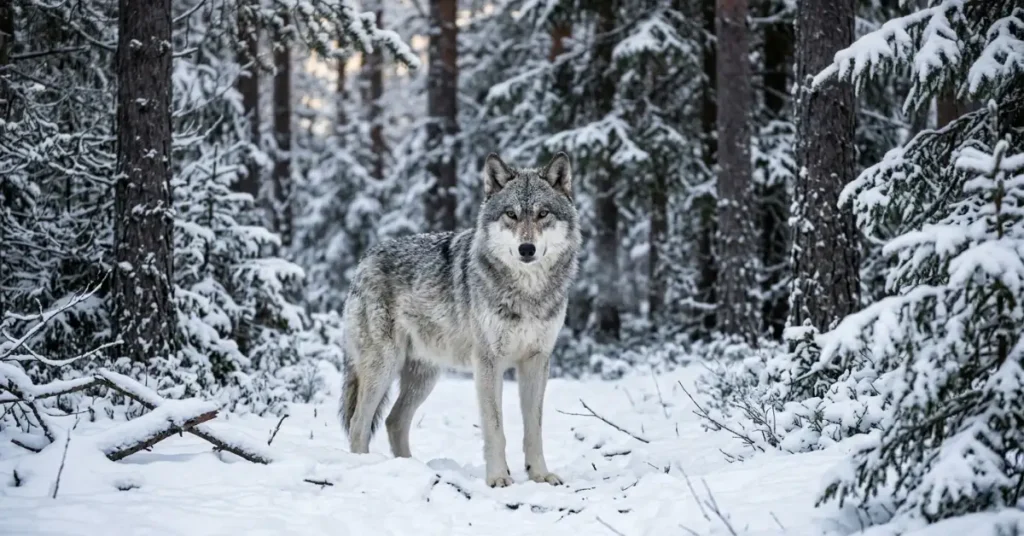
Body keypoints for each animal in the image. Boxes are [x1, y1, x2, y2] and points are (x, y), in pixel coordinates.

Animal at [339, 152, 580, 487]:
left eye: (543, 213)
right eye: (511, 214)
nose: (526, 248)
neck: (527, 293)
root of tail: (364, 259)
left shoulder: (536, 361)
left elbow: (534, 429)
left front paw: (540, 475)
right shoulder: (488, 362)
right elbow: (495, 428)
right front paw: (498, 478)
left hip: (424, 376)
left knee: (393, 421)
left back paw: (412, 469)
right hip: (382, 368)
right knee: (359, 424)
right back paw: (365, 468)